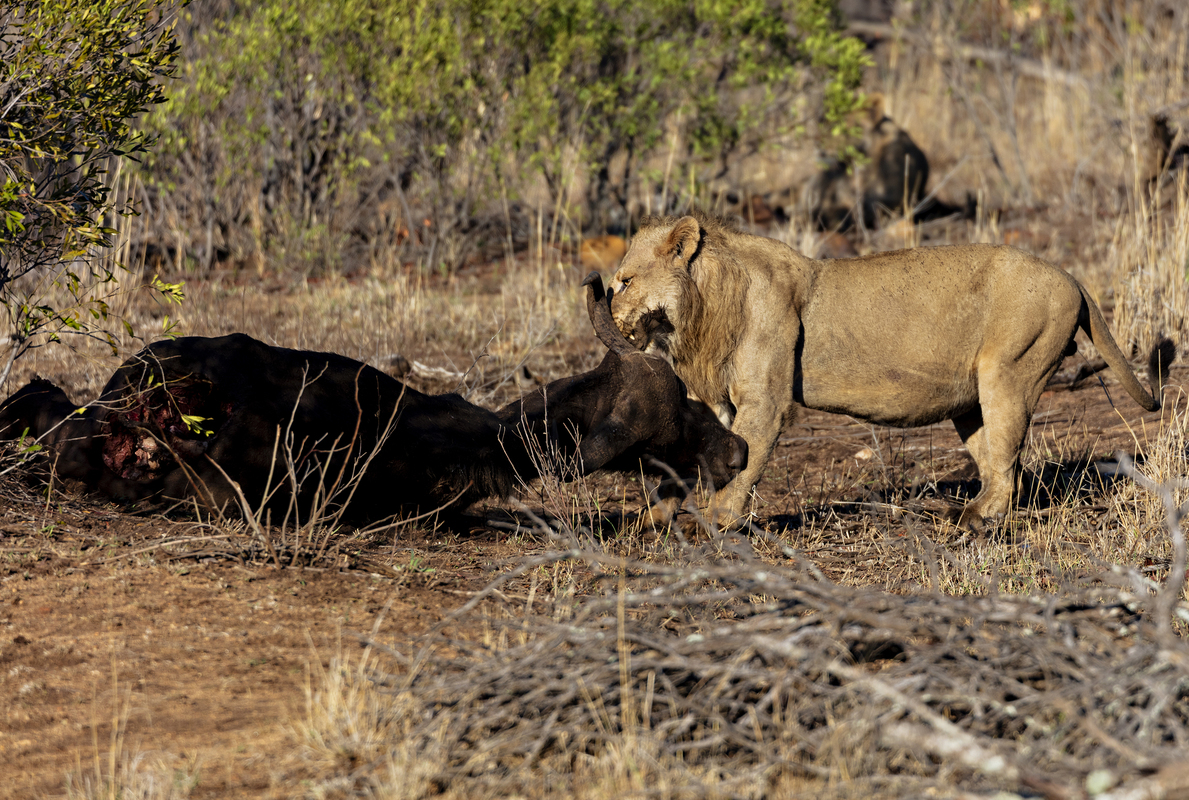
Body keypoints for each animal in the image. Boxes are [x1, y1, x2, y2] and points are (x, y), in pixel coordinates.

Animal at [609, 210, 1175, 528]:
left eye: (625, 280)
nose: (608, 314)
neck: (703, 307)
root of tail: (1072, 277)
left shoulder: (764, 400)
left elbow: (745, 460)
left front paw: (715, 521)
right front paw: (655, 516)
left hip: (1010, 370)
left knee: (1007, 462)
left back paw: (976, 518)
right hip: (972, 400)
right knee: (998, 461)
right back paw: (968, 515)